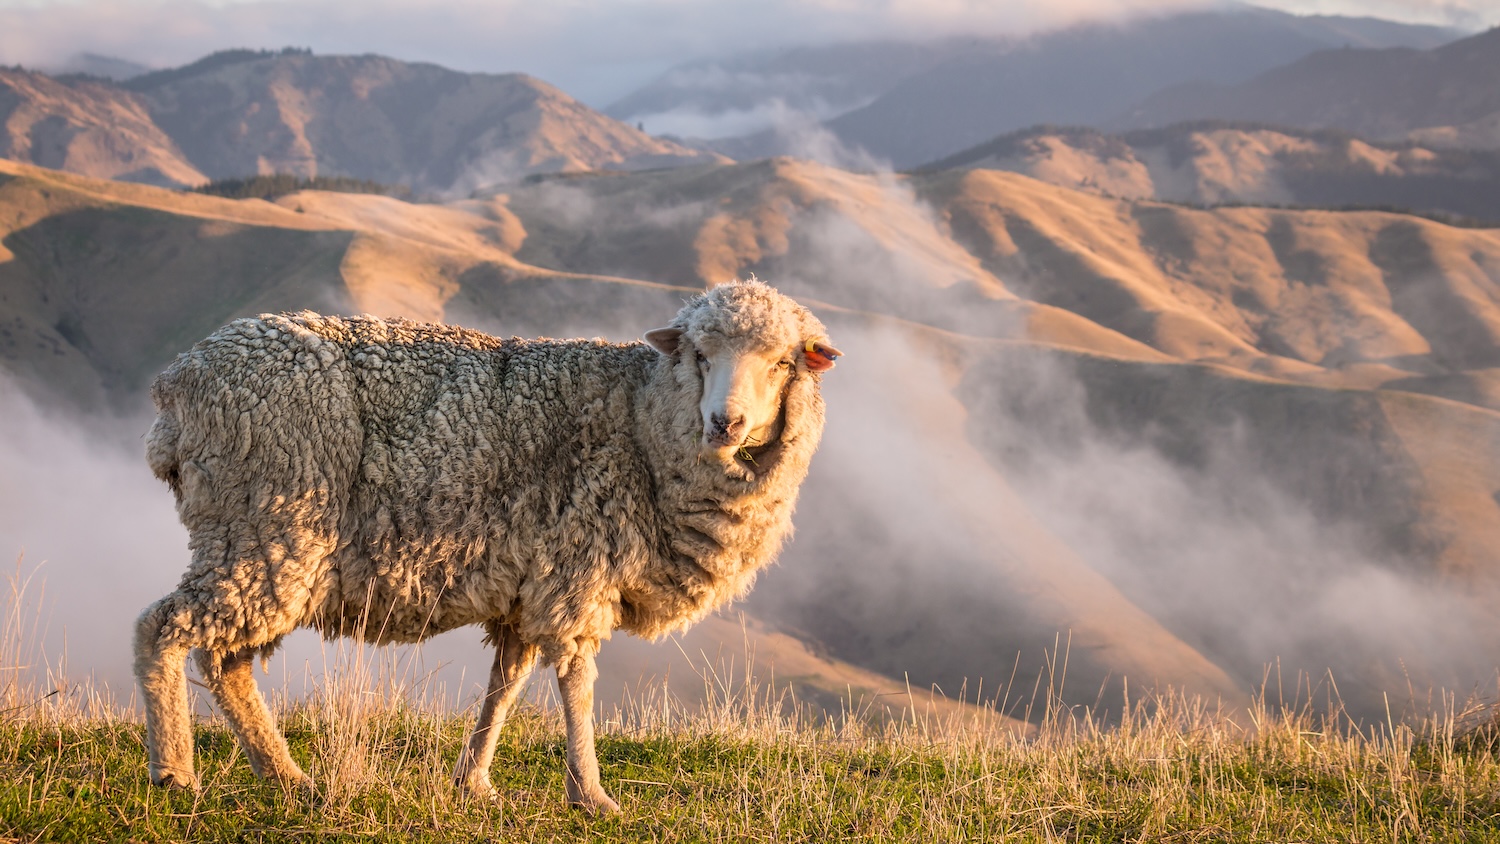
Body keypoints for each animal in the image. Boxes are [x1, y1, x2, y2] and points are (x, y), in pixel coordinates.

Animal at [133, 279, 842, 812]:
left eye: (783, 363)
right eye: (699, 355)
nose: (726, 423)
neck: (643, 421)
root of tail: (176, 386)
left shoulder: (529, 582)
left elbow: (507, 685)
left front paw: (473, 780)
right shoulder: (578, 570)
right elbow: (577, 682)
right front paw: (591, 794)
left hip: (259, 544)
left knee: (226, 662)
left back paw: (286, 776)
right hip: (269, 528)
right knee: (162, 628)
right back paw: (176, 772)